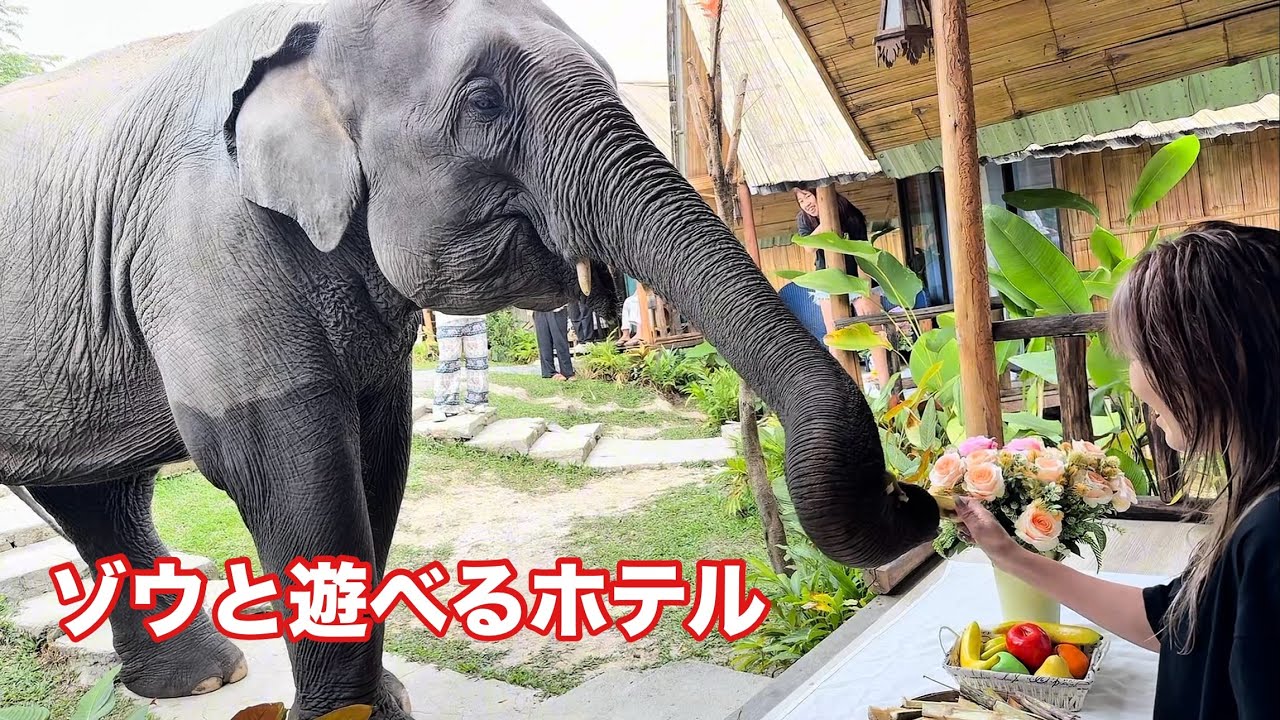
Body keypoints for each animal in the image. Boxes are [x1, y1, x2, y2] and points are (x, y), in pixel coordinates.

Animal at [0, 0, 939, 716]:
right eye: (484, 101)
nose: (917, 496)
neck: (299, 31)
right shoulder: (203, 240)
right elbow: (289, 465)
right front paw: (348, 717)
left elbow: (377, 457)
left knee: (99, 494)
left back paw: (202, 680)